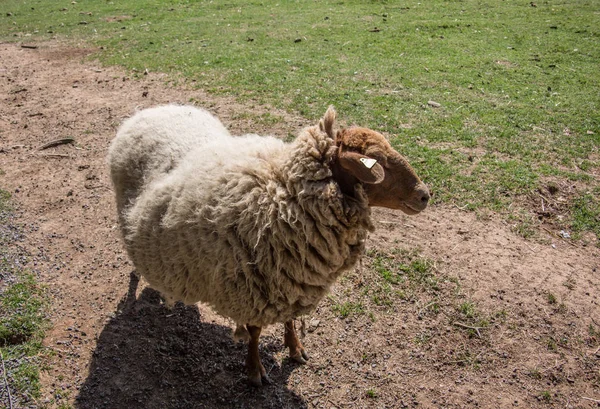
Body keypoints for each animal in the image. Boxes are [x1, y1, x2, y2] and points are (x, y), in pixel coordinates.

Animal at [106, 103, 426, 384]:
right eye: (376, 161)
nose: (425, 195)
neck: (285, 196)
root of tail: (152, 111)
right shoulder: (253, 287)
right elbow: (255, 332)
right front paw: (255, 370)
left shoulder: (290, 281)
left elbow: (290, 320)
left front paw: (295, 349)